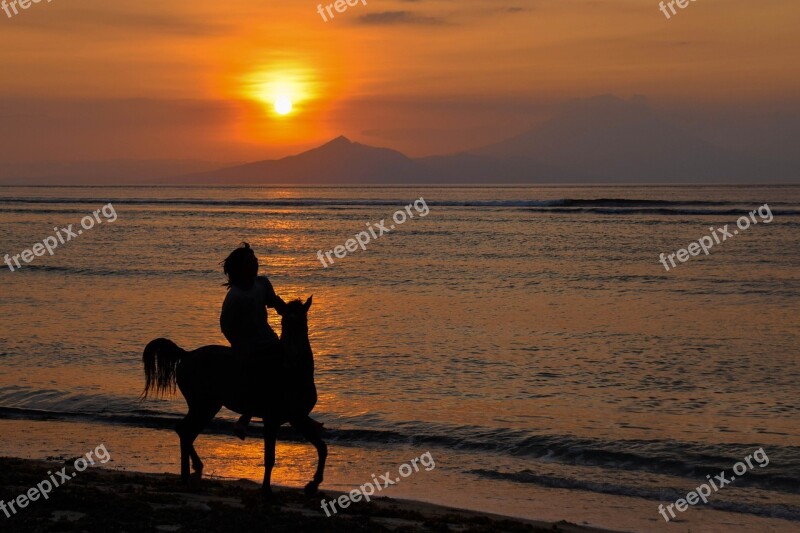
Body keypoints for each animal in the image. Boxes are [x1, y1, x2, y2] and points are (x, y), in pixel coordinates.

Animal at [141, 296, 324, 494]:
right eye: (284, 323)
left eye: (303, 323)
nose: (291, 357)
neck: (293, 375)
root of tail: (187, 355)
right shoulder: (272, 420)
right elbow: (270, 457)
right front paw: (266, 489)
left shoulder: (298, 418)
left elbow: (321, 446)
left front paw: (313, 484)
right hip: (203, 406)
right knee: (185, 430)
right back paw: (188, 474)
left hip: (207, 406)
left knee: (186, 432)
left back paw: (192, 471)